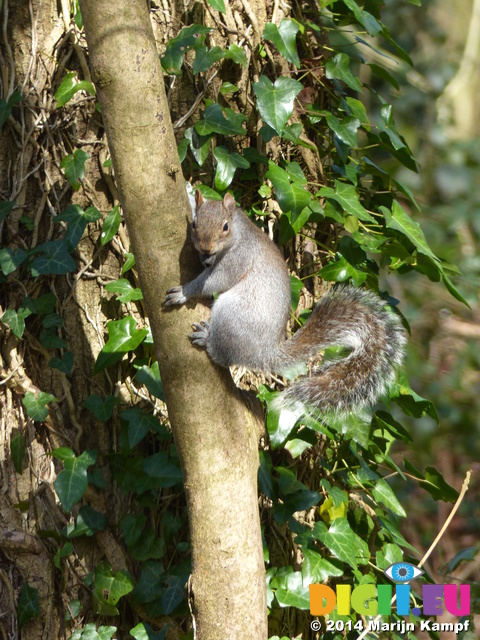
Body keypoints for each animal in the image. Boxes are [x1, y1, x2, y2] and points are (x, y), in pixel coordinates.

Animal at [164, 191, 404, 416]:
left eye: (225, 227)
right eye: (194, 223)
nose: (206, 249)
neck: (238, 232)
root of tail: (264, 354)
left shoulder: (238, 258)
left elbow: (215, 281)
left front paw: (184, 292)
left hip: (232, 315)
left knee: (224, 356)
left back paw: (207, 339)